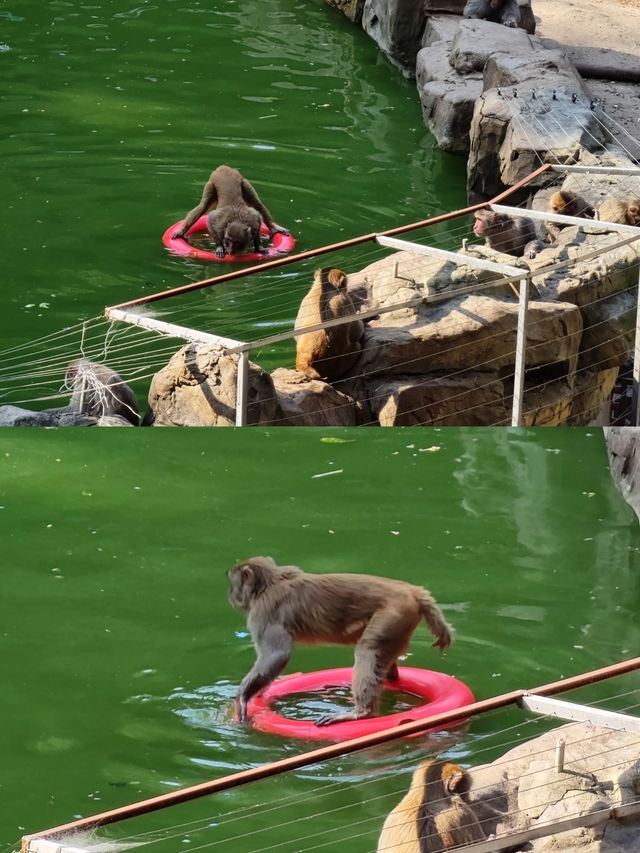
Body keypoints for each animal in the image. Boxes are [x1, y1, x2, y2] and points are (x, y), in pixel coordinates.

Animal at [228, 556, 452, 728]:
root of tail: (414, 592)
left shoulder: (263, 612)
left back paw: (361, 712)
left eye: (232, 583)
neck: (271, 582)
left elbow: (277, 655)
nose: (229, 594)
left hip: (393, 614)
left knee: (368, 650)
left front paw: (244, 694)